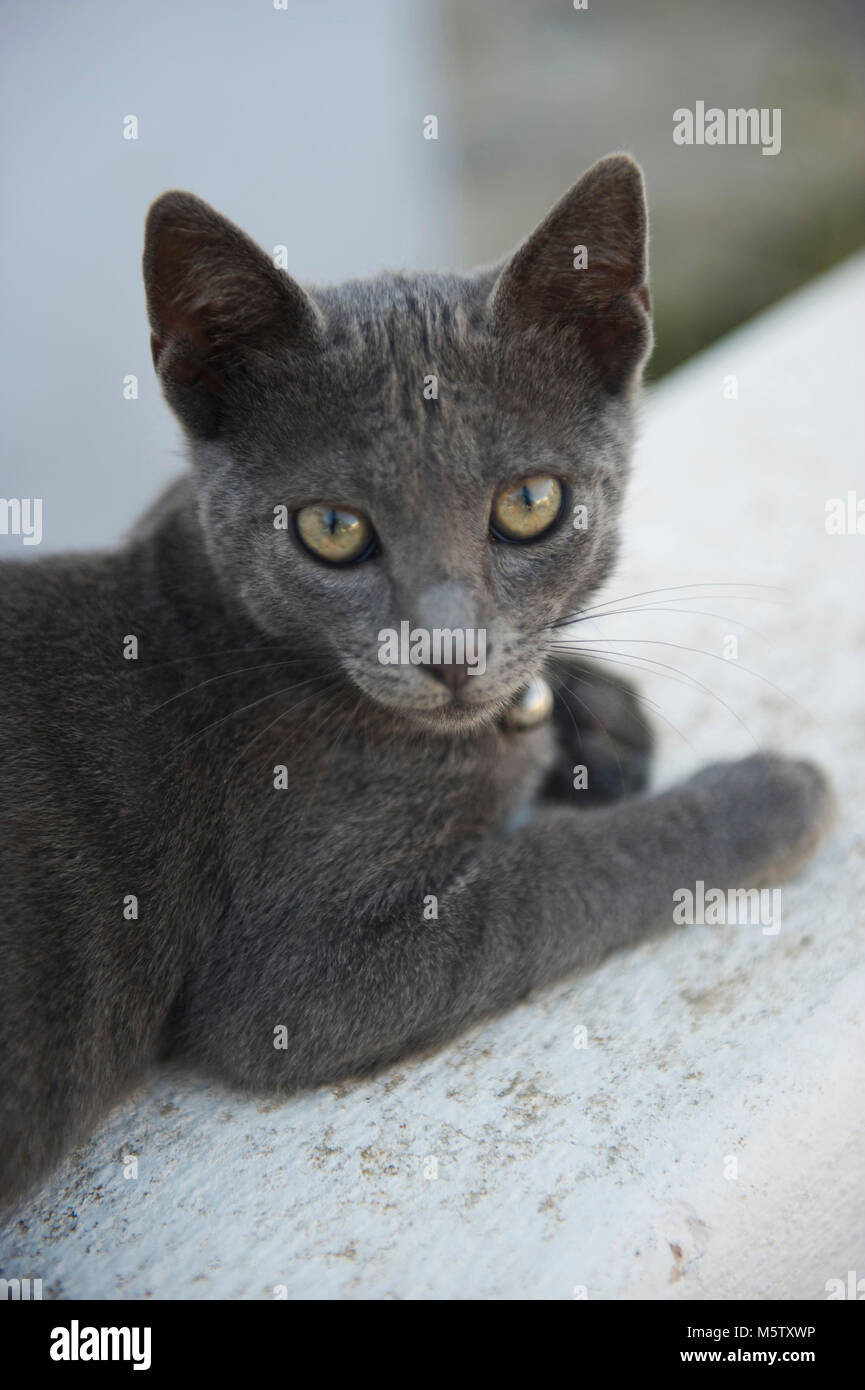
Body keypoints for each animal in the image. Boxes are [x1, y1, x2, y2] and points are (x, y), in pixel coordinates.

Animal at [0, 157, 828, 1212]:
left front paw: (599, 718)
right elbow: (554, 876)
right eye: (331, 528)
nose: (449, 652)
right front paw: (766, 793)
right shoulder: (299, 976)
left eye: (530, 503)